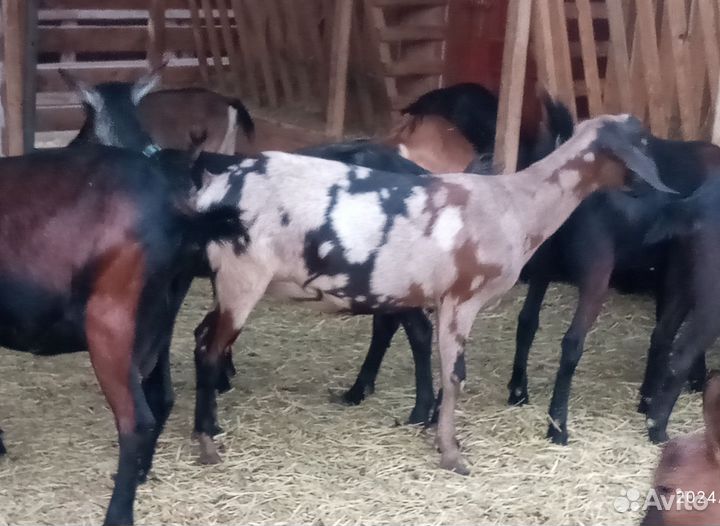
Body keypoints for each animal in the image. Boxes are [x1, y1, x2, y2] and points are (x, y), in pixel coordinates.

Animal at [0, 145, 247, 525]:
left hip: (111, 322)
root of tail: (177, 213)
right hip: (159, 319)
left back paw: (118, 513)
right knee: (161, 396)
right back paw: (142, 473)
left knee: (136, 421)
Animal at [190, 114, 670, 474]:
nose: (656, 193)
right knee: (211, 349)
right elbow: (454, 374)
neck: (517, 205)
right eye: (643, 142)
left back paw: (207, 430)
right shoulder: (462, 298)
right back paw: (207, 444)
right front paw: (451, 452)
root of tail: (212, 190)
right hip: (242, 276)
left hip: (228, 281)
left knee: (200, 340)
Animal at [505, 103, 720, 445]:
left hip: (543, 261)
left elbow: (662, 332)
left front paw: (648, 397)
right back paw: (561, 426)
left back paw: (518, 392)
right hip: (599, 271)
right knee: (573, 342)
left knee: (527, 321)